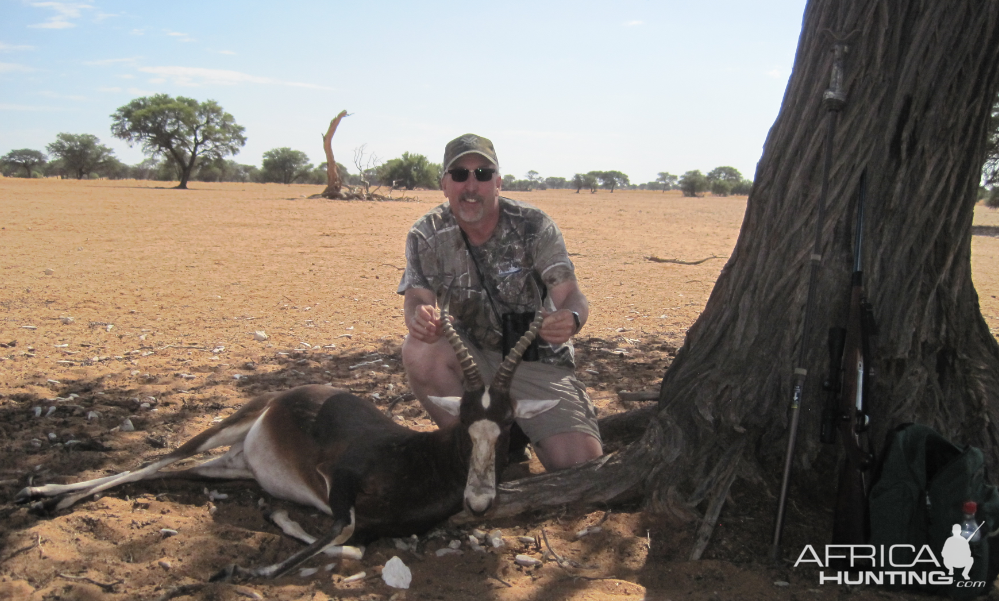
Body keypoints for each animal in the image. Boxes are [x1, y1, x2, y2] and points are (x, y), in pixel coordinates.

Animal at [13, 310, 556, 576]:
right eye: (465, 424)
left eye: (507, 426)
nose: (480, 502)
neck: (417, 458)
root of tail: (287, 394)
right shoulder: (338, 483)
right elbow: (341, 529)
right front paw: (243, 570)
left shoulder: (366, 526)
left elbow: (349, 544)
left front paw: (275, 516)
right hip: (229, 426)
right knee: (156, 460)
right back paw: (42, 496)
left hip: (230, 465)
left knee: (166, 471)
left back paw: (46, 499)